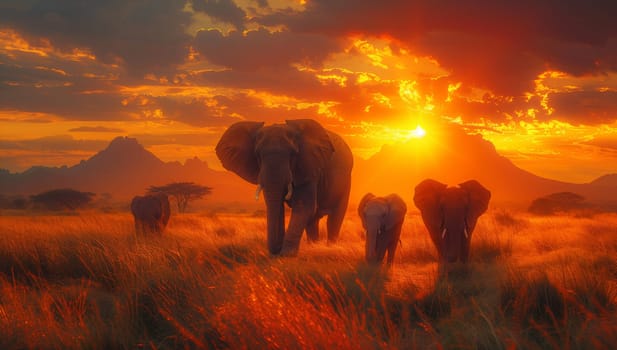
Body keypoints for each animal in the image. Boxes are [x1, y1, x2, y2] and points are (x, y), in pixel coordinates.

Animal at [215, 119, 352, 256]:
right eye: (257, 155)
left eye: (293, 154)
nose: (275, 251)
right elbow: (278, 206)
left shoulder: (308, 167)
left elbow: (304, 206)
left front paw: (287, 254)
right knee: (313, 221)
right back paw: (314, 246)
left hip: (346, 181)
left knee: (334, 219)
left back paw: (330, 247)